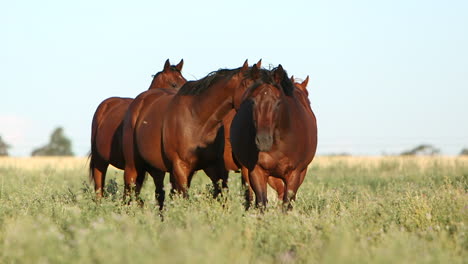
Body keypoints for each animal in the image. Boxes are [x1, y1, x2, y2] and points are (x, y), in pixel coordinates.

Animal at [120, 59, 268, 208]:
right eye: (173, 84)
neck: (197, 120)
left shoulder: (214, 167)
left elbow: (222, 197)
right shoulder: (181, 168)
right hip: (133, 167)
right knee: (129, 194)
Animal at [230, 66, 318, 210]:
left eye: (278, 102)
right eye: (253, 101)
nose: (263, 140)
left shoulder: (295, 174)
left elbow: (287, 203)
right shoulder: (257, 171)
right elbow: (261, 202)